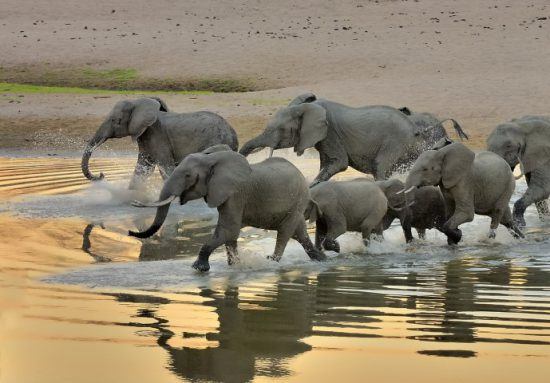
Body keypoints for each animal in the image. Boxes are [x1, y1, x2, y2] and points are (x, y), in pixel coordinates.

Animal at [81, 97, 238, 190]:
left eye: (115, 120)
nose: (101, 174)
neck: (139, 102)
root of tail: (232, 131)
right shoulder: (145, 138)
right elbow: (143, 169)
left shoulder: (158, 137)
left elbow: (166, 168)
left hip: (216, 141)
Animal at [129, 145, 326, 272]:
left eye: (187, 176)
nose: (131, 233)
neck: (210, 158)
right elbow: (230, 234)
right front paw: (235, 265)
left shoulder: (235, 193)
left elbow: (228, 230)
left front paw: (199, 268)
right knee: (299, 233)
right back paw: (321, 259)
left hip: (298, 200)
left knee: (285, 232)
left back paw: (272, 262)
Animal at [239, 94, 468, 188]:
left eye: (281, 130)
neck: (308, 107)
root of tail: (413, 128)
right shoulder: (325, 139)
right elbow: (328, 164)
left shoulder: (331, 133)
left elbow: (338, 163)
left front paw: (312, 187)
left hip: (394, 142)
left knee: (379, 167)